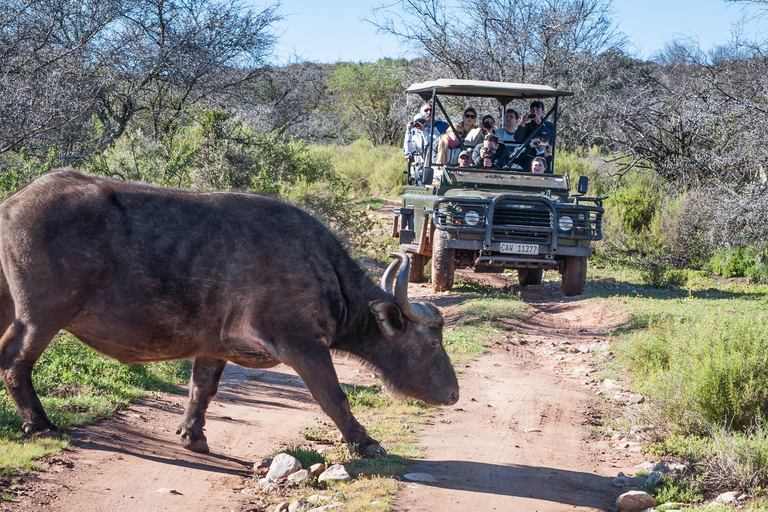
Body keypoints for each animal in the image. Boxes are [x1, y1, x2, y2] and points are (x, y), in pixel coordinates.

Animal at [0, 170, 460, 458]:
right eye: (432, 341)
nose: (454, 393)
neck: (320, 267)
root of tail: (12, 203)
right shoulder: (303, 346)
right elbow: (333, 397)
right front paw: (366, 444)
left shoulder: (214, 346)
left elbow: (201, 390)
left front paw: (193, 437)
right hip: (40, 318)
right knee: (14, 361)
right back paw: (39, 424)